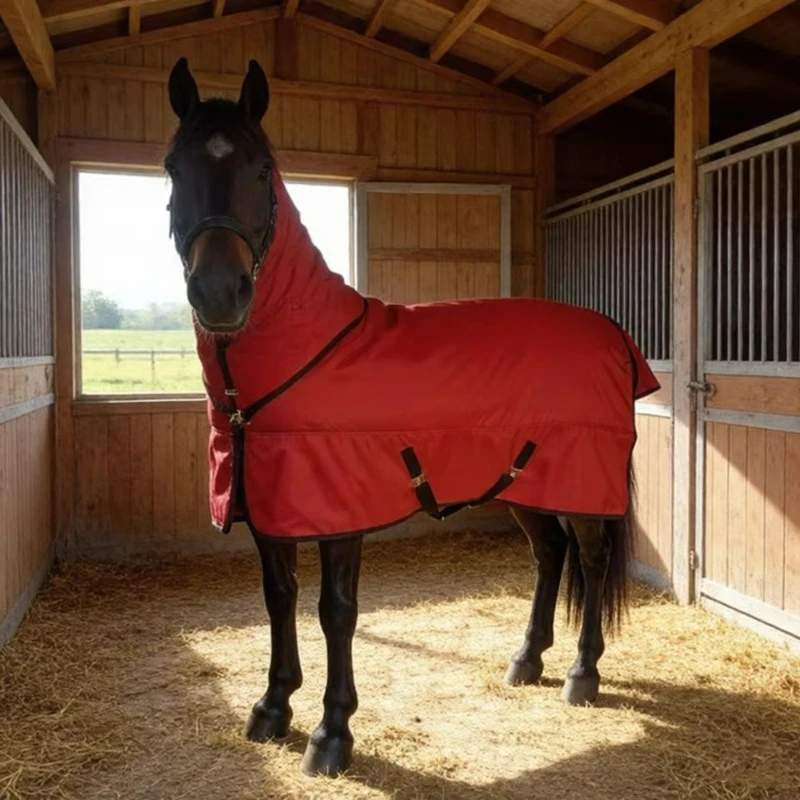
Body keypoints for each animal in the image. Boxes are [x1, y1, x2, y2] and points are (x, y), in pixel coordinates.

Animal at [164, 57, 658, 778]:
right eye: (174, 168)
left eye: (262, 168)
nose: (220, 293)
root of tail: (615, 336)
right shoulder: (269, 507)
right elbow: (279, 597)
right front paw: (271, 709)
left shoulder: (340, 512)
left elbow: (335, 611)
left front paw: (331, 735)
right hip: (523, 479)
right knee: (549, 553)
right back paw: (526, 661)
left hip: (581, 480)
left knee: (589, 560)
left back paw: (581, 674)